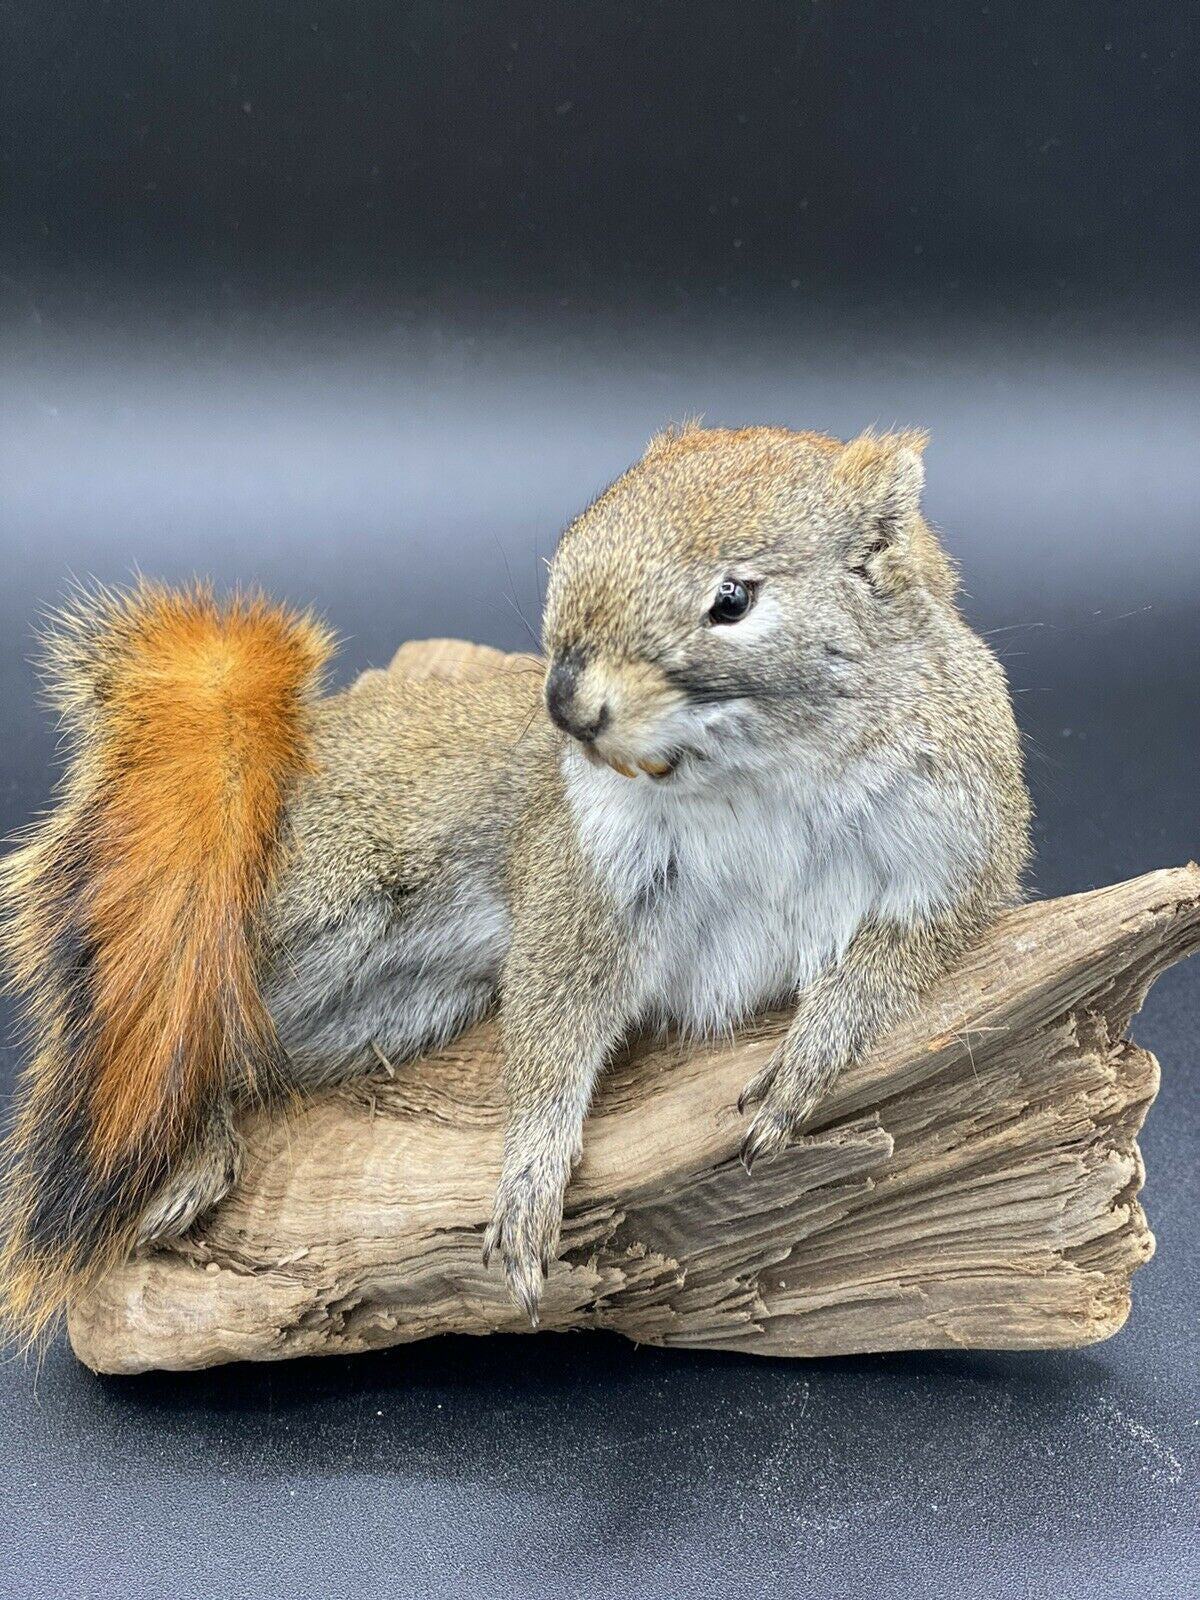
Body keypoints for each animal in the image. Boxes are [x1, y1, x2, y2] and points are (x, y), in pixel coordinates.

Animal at [0, 423, 1030, 1340]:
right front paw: (531, 1174)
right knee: (185, 1020)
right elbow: (553, 1018)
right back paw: (192, 1154)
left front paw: (811, 1054)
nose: (565, 704)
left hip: (379, 1006)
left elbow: (900, 957)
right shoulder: (584, 873)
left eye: (734, 598)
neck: (757, 769)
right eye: (575, 538)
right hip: (302, 914)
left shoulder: (959, 847)